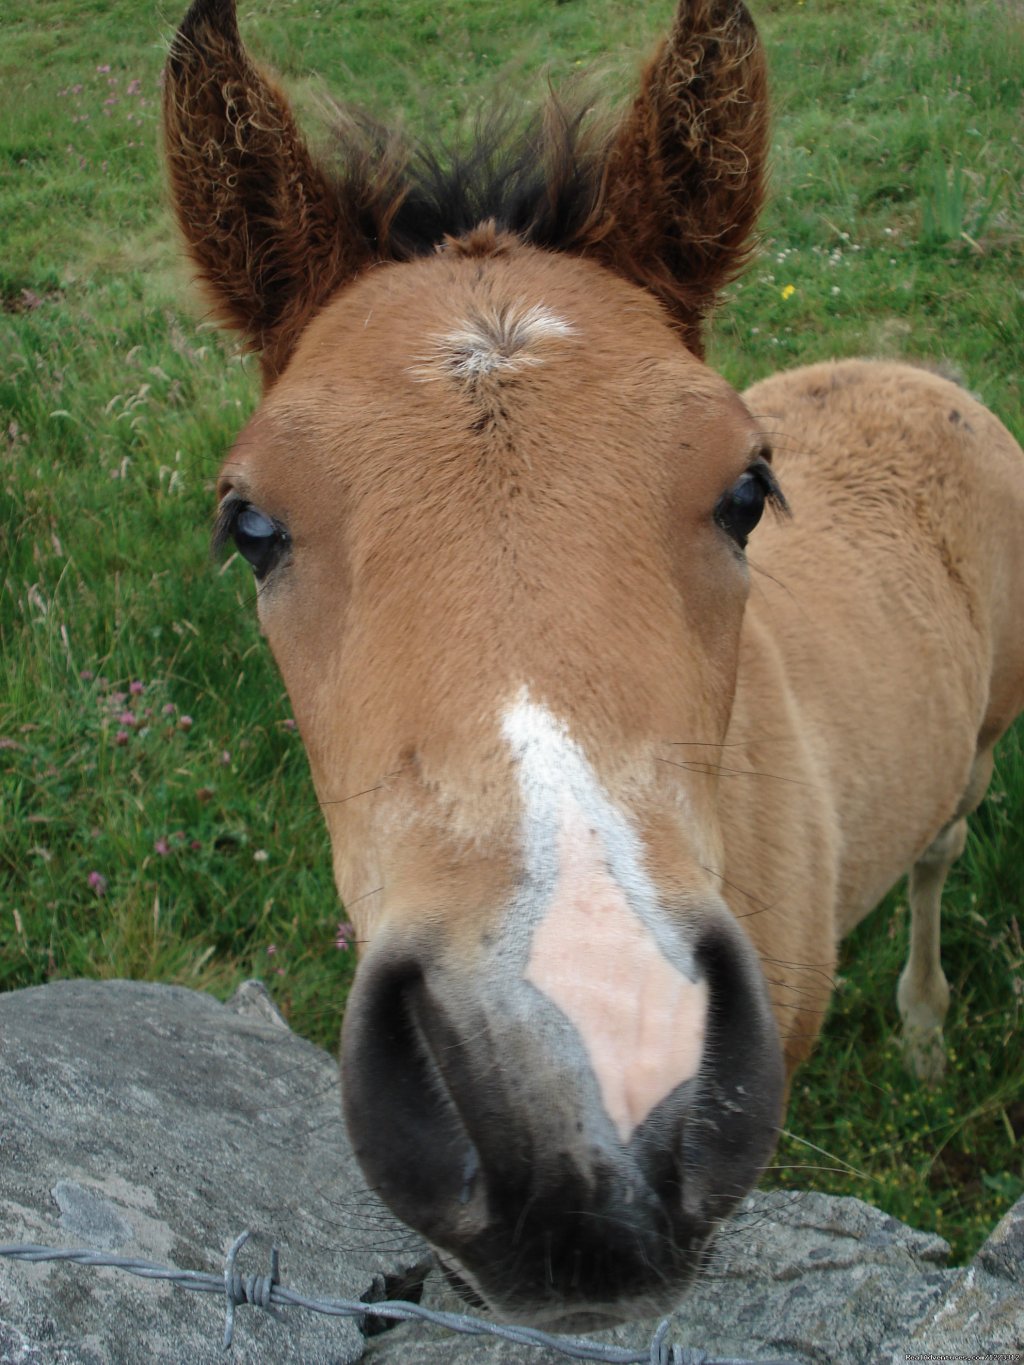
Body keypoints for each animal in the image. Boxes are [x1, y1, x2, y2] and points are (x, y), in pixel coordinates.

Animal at [162, 0, 1024, 1326]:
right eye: (250, 525)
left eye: (746, 490)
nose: (580, 1103)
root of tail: (924, 379)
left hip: (979, 743)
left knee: (940, 850)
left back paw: (925, 1030)